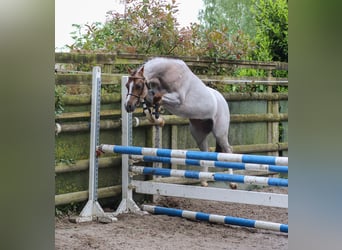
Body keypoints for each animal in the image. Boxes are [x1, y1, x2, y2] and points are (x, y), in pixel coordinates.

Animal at [124, 57, 236, 188]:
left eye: (138, 85)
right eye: (127, 85)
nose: (128, 106)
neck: (166, 74)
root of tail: (222, 99)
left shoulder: (177, 99)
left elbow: (156, 98)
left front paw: (158, 116)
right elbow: (150, 101)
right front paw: (158, 119)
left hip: (220, 133)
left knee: (228, 151)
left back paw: (233, 182)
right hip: (198, 133)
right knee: (205, 152)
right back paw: (203, 181)